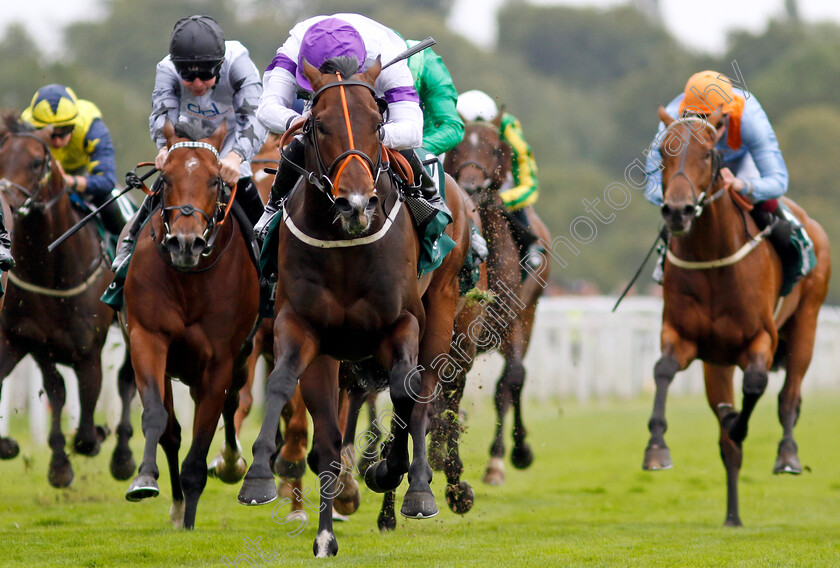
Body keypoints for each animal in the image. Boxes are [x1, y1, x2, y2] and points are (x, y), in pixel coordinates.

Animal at [0, 113, 135, 486]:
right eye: (0, 155)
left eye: (36, 162)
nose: (7, 203)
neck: (50, 268)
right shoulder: (31, 342)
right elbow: (56, 391)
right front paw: (57, 464)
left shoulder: (88, 353)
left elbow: (87, 433)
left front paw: (96, 438)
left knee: (127, 383)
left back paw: (123, 456)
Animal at [120, 118, 260, 528]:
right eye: (165, 178)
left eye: (215, 180)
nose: (186, 243)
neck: (189, 281)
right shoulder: (147, 339)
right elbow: (158, 418)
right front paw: (145, 479)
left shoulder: (221, 361)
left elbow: (200, 448)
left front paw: (192, 514)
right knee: (172, 430)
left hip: (242, 357)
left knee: (234, 400)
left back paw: (230, 463)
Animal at [238, 56, 472, 556]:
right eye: (320, 125)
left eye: (376, 123)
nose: (357, 204)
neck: (345, 245)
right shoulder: (300, 327)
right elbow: (284, 387)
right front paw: (261, 476)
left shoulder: (401, 324)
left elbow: (405, 390)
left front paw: (388, 471)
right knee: (328, 435)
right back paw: (327, 527)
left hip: (442, 308)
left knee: (423, 392)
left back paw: (417, 487)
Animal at [442, 118, 556, 484]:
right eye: (457, 146)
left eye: (495, 149)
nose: (472, 186)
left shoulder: (513, 321)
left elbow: (512, 379)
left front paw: (506, 457)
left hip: (529, 313)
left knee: (513, 380)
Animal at [648, 104, 832, 524]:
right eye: (663, 153)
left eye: (707, 154)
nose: (678, 211)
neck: (712, 259)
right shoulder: (682, 336)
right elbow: (663, 370)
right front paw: (657, 447)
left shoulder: (761, 338)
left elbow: (756, 385)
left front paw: (737, 422)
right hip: (716, 362)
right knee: (728, 442)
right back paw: (732, 517)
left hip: (807, 324)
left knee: (789, 395)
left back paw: (787, 455)